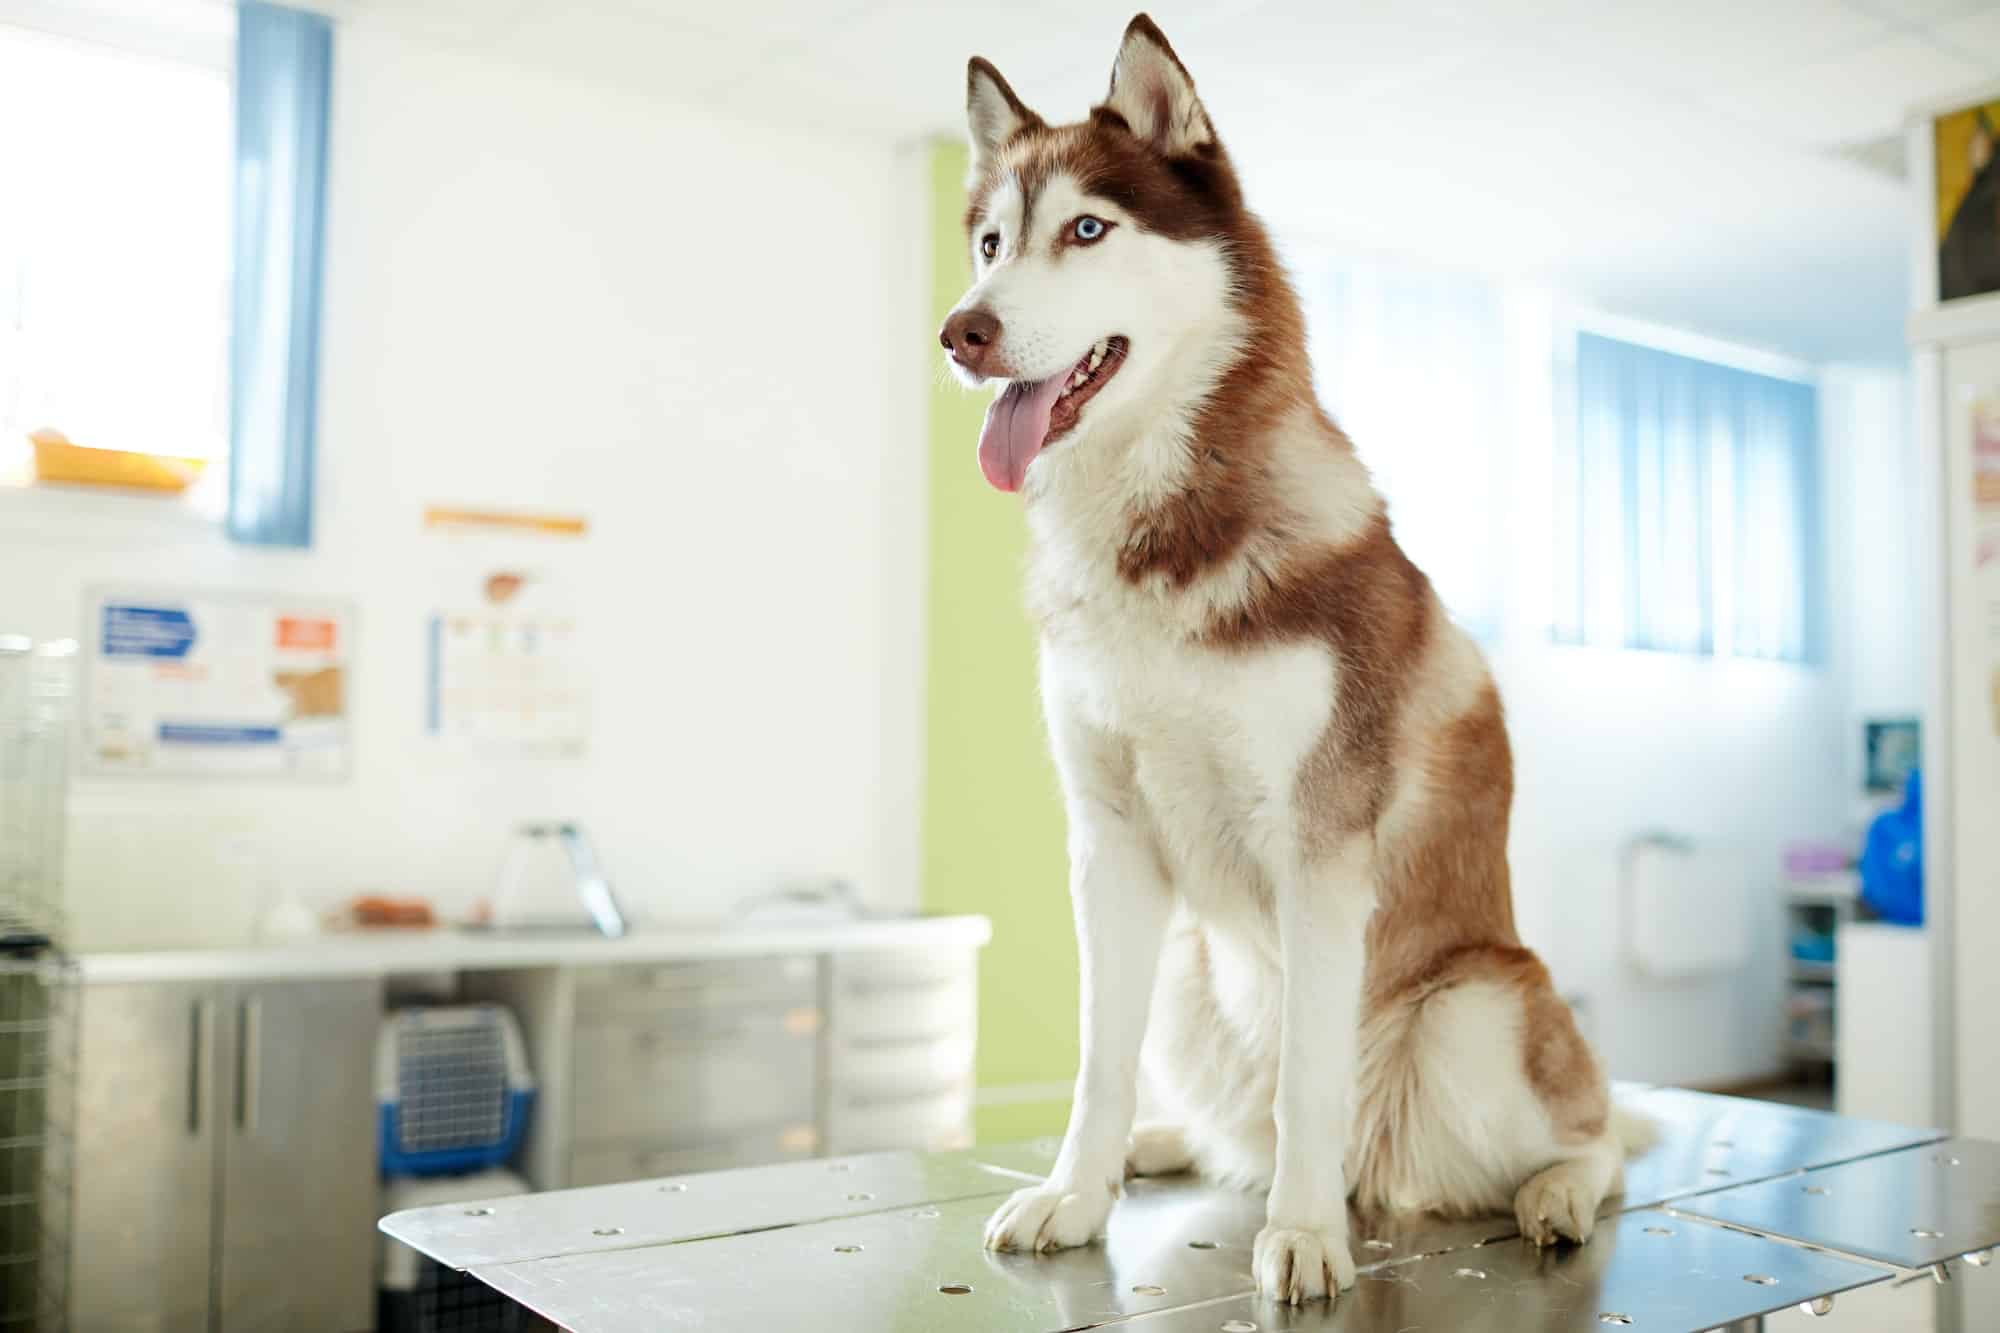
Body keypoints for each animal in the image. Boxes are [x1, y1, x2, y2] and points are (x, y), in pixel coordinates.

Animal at [936, 13, 1640, 1296]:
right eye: (990, 242)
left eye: (1086, 229)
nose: (961, 331)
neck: (1154, 539)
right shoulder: (1108, 843)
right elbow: (1094, 1063)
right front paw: (1075, 1190)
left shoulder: (1318, 851)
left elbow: (1309, 1084)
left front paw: (1306, 1237)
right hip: (1185, 977)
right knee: (1230, 1129)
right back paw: (1158, 1146)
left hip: (1469, 1014)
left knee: (1596, 1133)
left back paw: (1548, 1192)